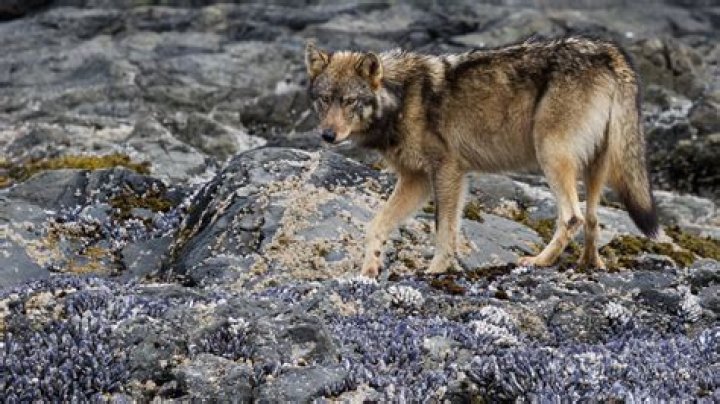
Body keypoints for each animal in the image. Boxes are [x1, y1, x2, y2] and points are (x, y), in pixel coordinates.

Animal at [304, 35, 659, 278]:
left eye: (349, 101)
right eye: (324, 99)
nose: (327, 136)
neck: (402, 98)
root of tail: (609, 51)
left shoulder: (447, 171)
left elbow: (444, 229)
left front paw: (436, 270)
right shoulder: (416, 180)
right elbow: (376, 226)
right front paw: (368, 270)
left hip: (552, 157)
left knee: (573, 217)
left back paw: (539, 261)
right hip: (595, 168)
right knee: (593, 218)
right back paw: (590, 264)